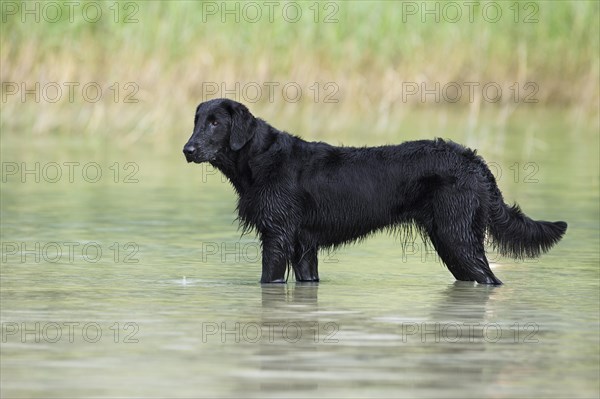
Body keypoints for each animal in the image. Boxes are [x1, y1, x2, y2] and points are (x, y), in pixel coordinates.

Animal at [183, 99, 568, 288]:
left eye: (216, 123)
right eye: (197, 120)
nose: (187, 149)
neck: (260, 159)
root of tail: (472, 159)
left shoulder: (277, 236)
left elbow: (268, 279)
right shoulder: (303, 245)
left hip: (456, 237)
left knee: (489, 278)